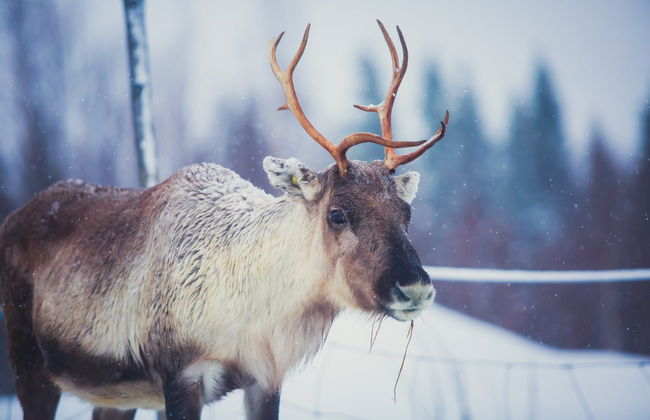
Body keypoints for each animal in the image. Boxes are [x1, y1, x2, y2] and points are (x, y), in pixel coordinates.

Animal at [0, 21, 448, 420]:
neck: (254, 317)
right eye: (336, 213)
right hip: (30, 364)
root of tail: (13, 218)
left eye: (406, 213)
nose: (414, 288)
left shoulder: (265, 379)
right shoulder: (181, 376)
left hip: (114, 394)